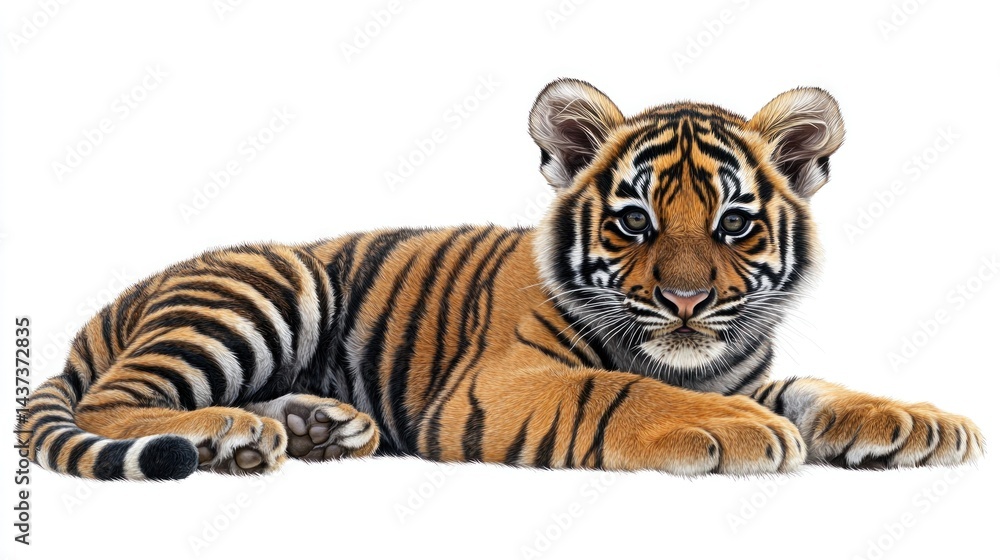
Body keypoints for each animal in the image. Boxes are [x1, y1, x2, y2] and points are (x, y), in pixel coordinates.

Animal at [19, 79, 983, 480]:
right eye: (635, 222)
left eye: (734, 224)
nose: (685, 302)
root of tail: (103, 314)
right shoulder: (497, 383)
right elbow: (616, 391)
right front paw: (731, 430)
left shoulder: (743, 365)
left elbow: (817, 389)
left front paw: (916, 422)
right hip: (267, 284)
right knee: (116, 399)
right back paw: (235, 432)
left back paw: (313, 427)